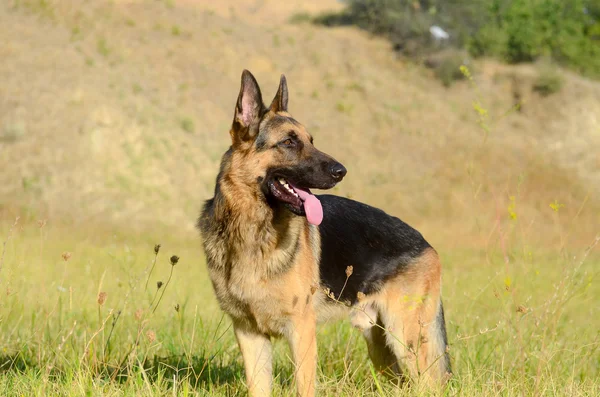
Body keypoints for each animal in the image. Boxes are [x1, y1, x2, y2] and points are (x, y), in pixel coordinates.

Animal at [197, 69, 450, 394]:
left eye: (310, 141)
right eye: (289, 142)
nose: (342, 171)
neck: (253, 230)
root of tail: (427, 244)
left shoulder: (302, 331)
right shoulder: (249, 334)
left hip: (405, 340)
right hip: (381, 347)